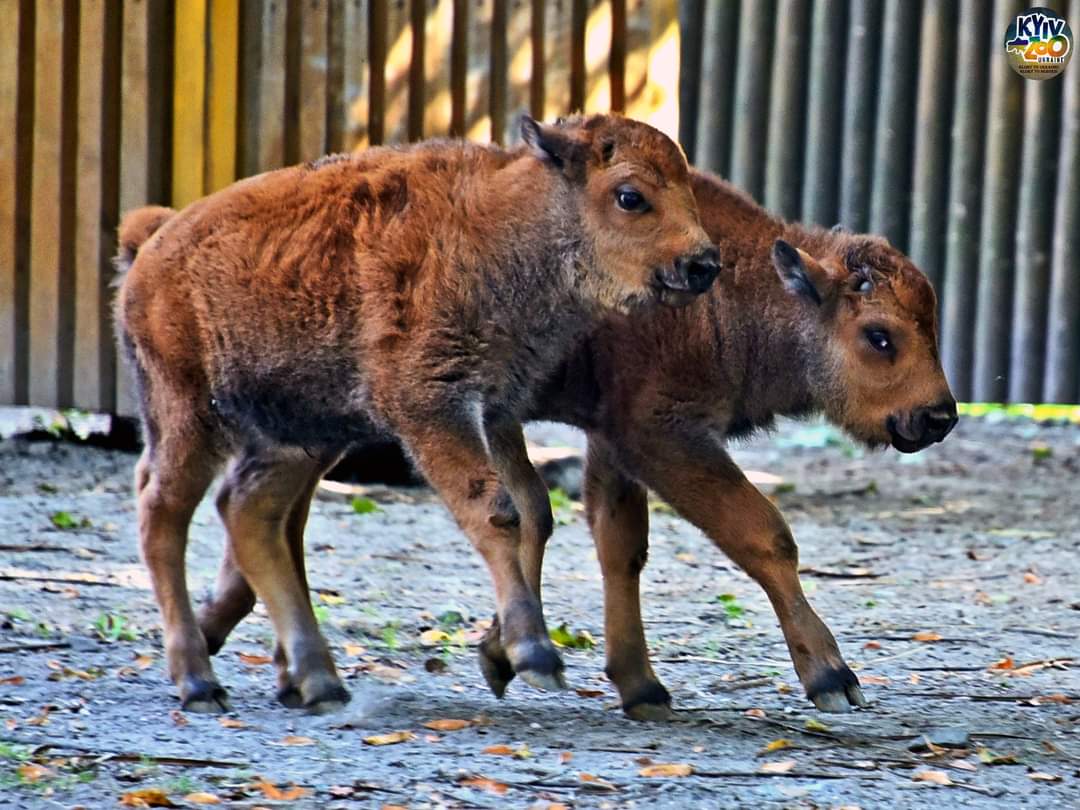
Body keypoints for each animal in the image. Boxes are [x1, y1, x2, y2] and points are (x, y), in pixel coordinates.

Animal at [116, 115, 717, 717]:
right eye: (630, 195)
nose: (704, 264)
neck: (500, 224)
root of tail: (152, 244)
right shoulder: (432, 408)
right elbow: (496, 512)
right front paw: (535, 656)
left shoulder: (494, 409)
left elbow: (532, 509)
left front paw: (509, 652)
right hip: (189, 417)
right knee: (162, 514)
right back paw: (199, 682)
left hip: (300, 433)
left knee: (248, 511)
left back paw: (317, 681)